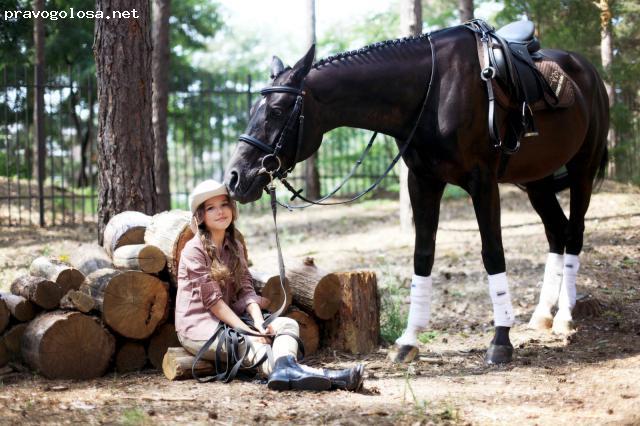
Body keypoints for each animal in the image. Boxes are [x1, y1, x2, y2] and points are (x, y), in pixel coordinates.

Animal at [225, 21, 608, 364]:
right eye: (252, 110)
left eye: (276, 111)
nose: (234, 177)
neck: (431, 91)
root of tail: (589, 72)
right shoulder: (423, 181)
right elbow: (422, 255)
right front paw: (408, 341)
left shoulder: (482, 182)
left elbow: (493, 254)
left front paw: (500, 341)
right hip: (537, 180)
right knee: (556, 232)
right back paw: (543, 314)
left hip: (582, 169)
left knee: (573, 233)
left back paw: (564, 317)